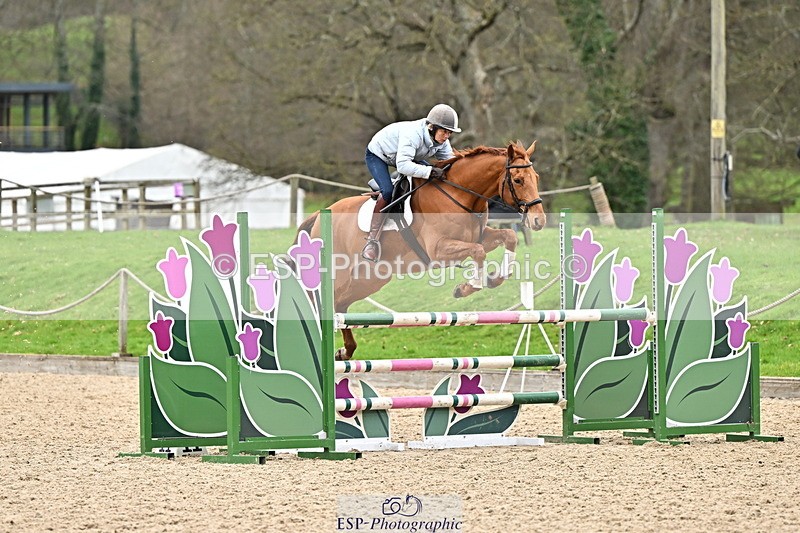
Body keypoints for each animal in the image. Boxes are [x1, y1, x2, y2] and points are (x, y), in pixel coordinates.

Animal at [299, 140, 546, 360]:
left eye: (536, 178)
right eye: (518, 180)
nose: (538, 221)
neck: (461, 196)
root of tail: (321, 214)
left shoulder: (481, 236)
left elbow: (509, 237)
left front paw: (496, 278)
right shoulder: (438, 249)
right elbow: (478, 252)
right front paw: (468, 287)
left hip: (369, 279)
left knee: (340, 305)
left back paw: (345, 351)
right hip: (340, 274)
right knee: (323, 303)